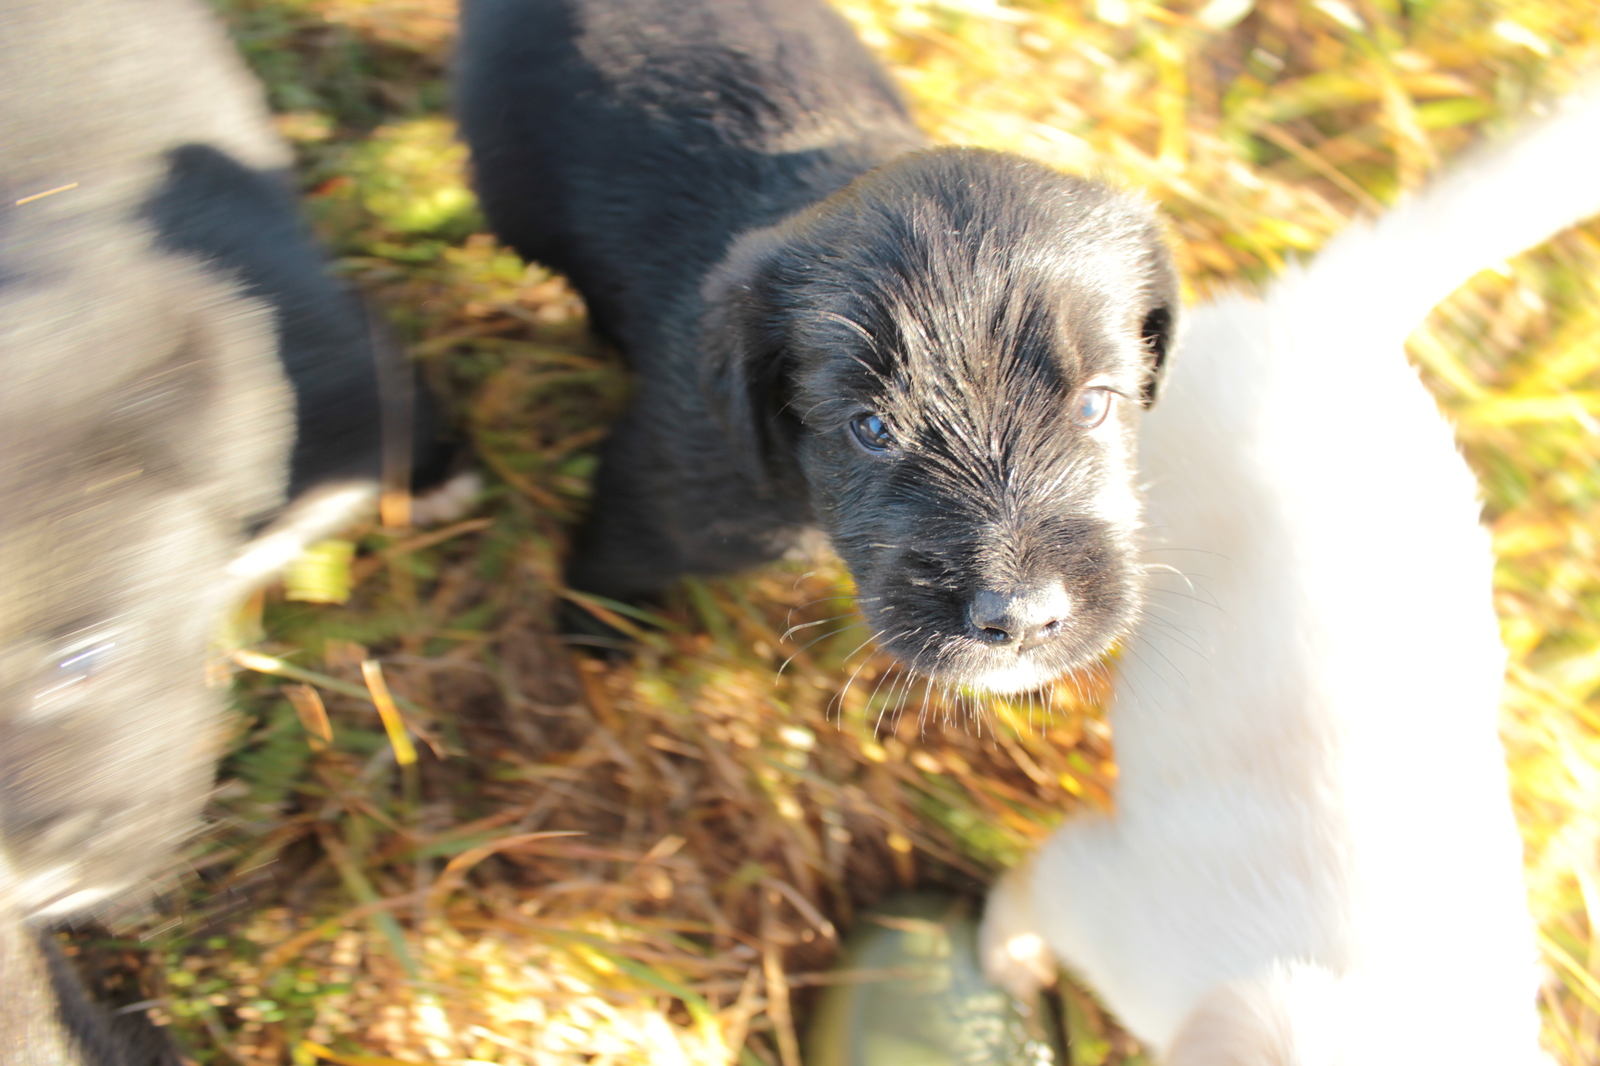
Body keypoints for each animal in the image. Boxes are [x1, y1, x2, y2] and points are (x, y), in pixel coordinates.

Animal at [457, 0, 1184, 688]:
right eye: (872, 428)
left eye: (1094, 406)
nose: (1022, 619)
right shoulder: (665, 488)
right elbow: (615, 561)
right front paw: (594, 642)